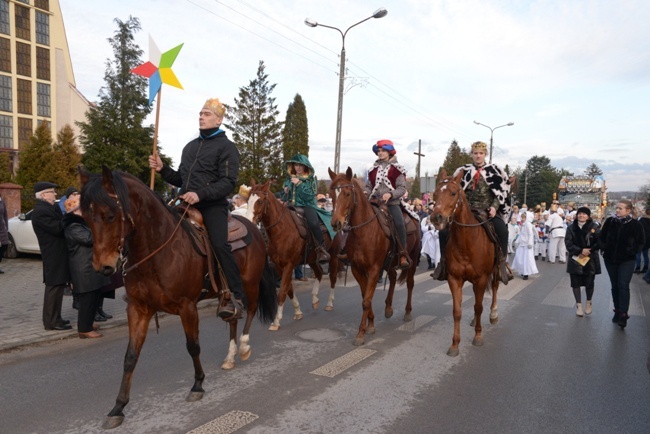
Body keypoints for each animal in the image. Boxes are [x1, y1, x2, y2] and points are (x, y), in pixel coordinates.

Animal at [79, 168, 276, 428]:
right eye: (85, 217)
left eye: (110, 215)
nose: (102, 267)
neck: (157, 248)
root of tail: (253, 226)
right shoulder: (138, 308)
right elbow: (130, 356)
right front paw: (118, 408)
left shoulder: (187, 306)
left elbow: (193, 346)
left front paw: (198, 385)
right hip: (228, 297)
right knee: (232, 317)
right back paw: (230, 356)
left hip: (250, 284)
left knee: (250, 310)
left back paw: (243, 347)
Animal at [243, 178, 334, 330]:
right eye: (248, 199)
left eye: (260, 201)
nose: (250, 222)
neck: (281, 230)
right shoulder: (279, 266)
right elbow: (288, 289)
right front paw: (297, 311)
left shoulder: (289, 265)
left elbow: (282, 292)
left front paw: (276, 321)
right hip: (312, 259)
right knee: (320, 273)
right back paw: (315, 299)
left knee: (333, 278)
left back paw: (329, 303)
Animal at [330, 169, 420, 346]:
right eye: (332, 194)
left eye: (348, 193)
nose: (336, 223)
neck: (364, 231)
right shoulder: (357, 269)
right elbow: (366, 296)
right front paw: (370, 324)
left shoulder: (374, 269)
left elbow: (366, 300)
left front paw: (360, 333)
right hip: (391, 262)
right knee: (393, 278)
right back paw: (388, 308)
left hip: (412, 259)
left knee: (410, 284)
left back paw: (407, 312)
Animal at [430, 169, 502, 356]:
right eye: (435, 194)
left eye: (453, 193)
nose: (436, 218)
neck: (466, 242)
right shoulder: (454, 279)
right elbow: (457, 311)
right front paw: (455, 344)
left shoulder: (482, 278)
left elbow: (478, 307)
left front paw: (478, 336)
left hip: (494, 272)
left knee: (494, 289)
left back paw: (493, 315)